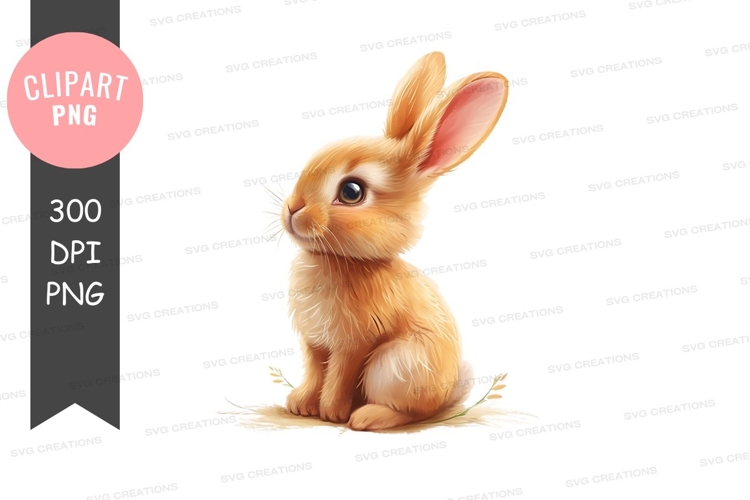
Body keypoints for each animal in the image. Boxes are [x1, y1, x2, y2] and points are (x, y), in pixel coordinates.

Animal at [279, 51, 508, 431]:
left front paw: (331, 412)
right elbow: (314, 371)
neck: (339, 260)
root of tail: (445, 395)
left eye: (351, 191)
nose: (292, 208)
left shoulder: (354, 344)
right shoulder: (314, 343)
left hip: (393, 364)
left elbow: (339, 375)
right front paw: (300, 404)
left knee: (412, 412)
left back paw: (367, 417)